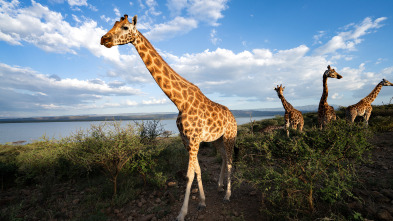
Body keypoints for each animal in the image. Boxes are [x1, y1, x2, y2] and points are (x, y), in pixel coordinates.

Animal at [100, 14, 236, 220]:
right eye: (114, 24)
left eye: (125, 27)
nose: (104, 39)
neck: (179, 102)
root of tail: (234, 116)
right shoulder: (186, 139)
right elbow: (197, 170)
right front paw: (202, 202)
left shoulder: (194, 139)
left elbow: (189, 175)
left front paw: (182, 213)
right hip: (217, 139)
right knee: (223, 158)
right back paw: (220, 187)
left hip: (229, 136)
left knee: (230, 161)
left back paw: (228, 195)